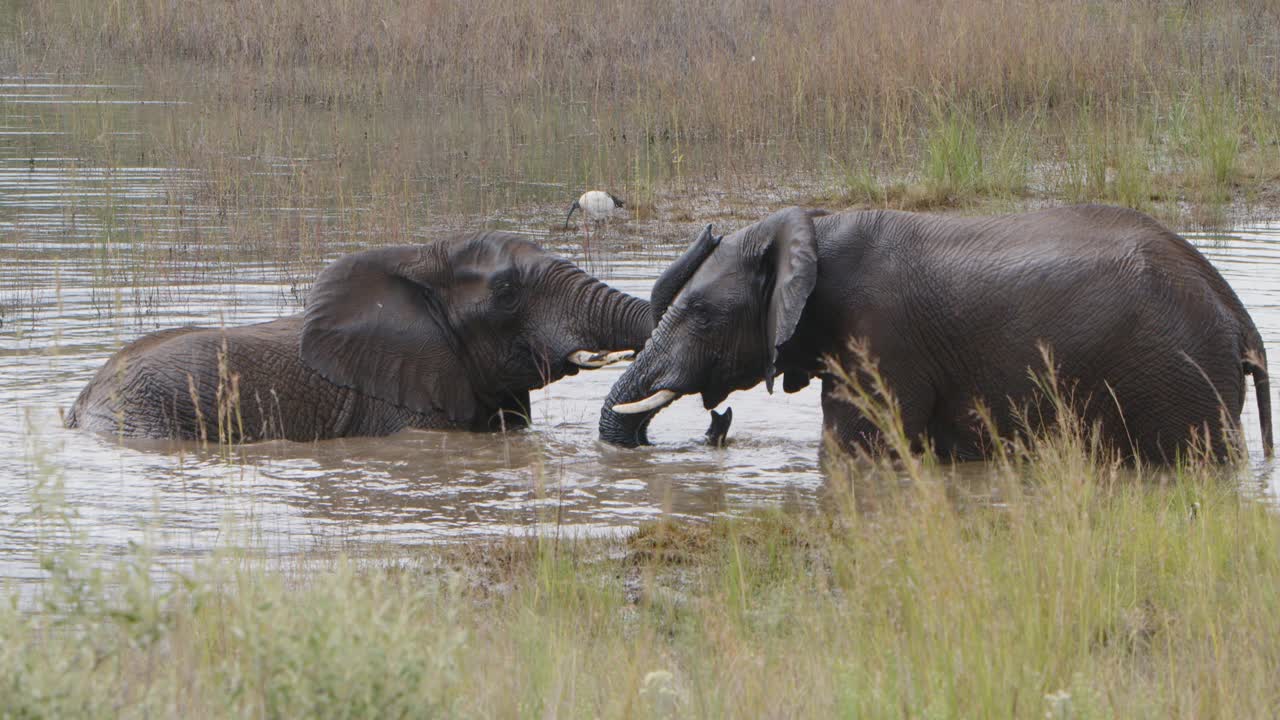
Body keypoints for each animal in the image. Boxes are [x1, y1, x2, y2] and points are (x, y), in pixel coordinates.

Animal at [599, 203, 1269, 458]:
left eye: (701, 314)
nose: (719, 421)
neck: (814, 228)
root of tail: (1239, 319)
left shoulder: (879, 341)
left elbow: (856, 450)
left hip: (1178, 378)